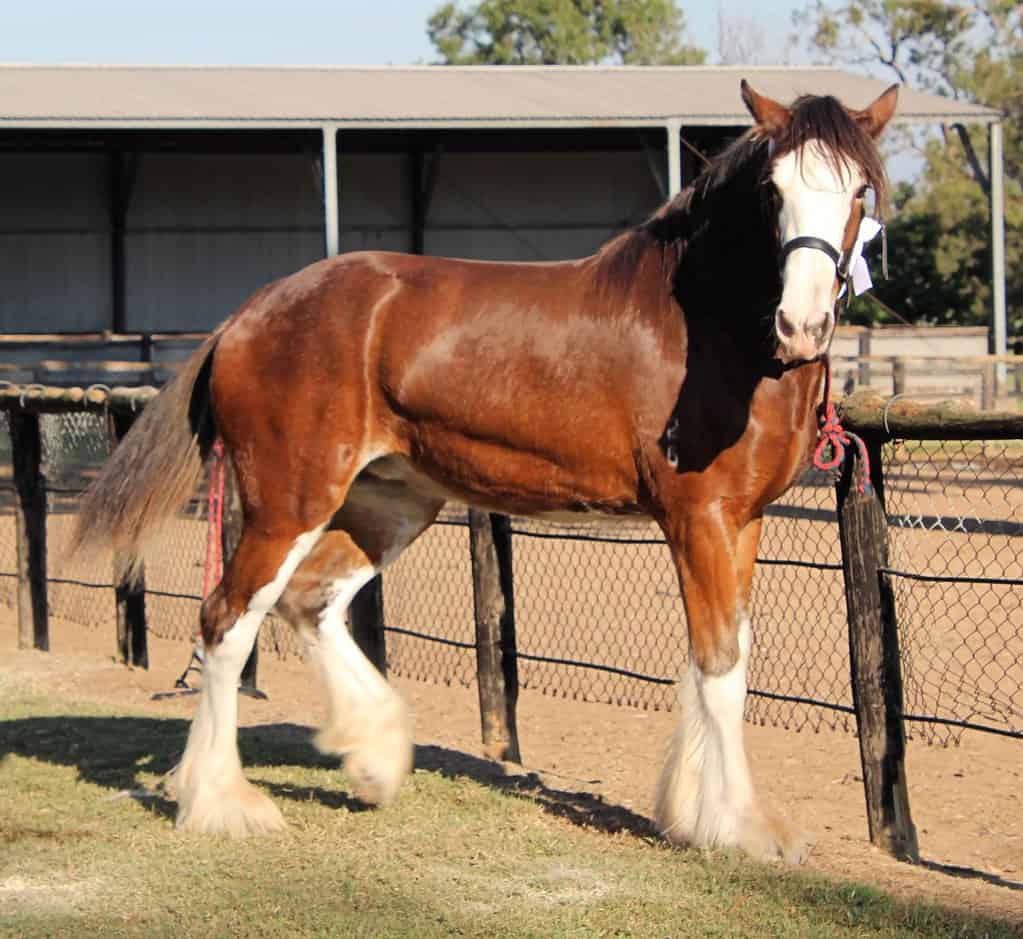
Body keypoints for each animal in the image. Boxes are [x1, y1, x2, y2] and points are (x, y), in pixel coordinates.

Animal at [73, 79, 897, 861]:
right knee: (227, 620)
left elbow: (720, 661)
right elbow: (719, 664)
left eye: (859, 189)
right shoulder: (699, 518)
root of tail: (247, 316)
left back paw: (374, 757)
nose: (801, 324)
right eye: (772, 189)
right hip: (289, 500)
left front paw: (694, 815)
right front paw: (743, 827)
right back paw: (222, 804)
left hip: (391, 503)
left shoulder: (742, 521)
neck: (712, 333)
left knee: (309, 600)